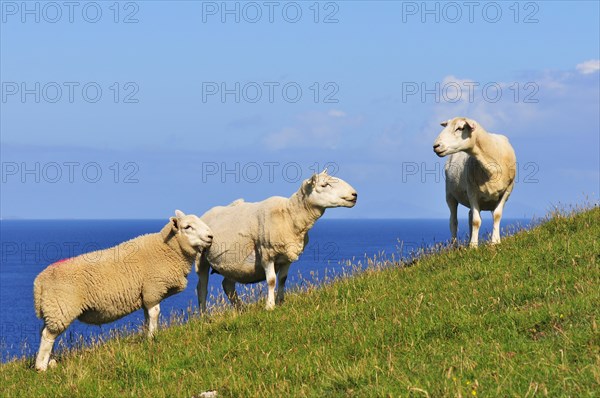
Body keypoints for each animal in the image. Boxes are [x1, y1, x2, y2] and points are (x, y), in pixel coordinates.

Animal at [32, 210, 213, 372]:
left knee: (44, 332)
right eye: (187, 226)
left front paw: (147, 335)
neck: (167, 249)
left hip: (53, 310)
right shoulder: (152, 290)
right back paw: (41, 367)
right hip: (61, 309)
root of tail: (39, 282)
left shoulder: (145, 294)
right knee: (48, 336)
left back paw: (49, 362)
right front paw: (152, 338)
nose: (211, 236)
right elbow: (155, 313)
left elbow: (147, 317)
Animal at [196, 169, 356, 312]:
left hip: (233, 264)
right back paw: (204, 316)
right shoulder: (266, 254)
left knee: (228, 285)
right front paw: (270, 306)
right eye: (324, 185)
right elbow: (272, 280)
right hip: (201, 259)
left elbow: (283, 279)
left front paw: (280, 302)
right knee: (202, 288)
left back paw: (241, 310)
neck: (289, 215)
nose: (354, 195)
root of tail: (205, 214)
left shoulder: (287, 257)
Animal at [434, 116, 516, 246]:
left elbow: (497, 216)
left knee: (469, 215)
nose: (436, 146)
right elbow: (476, 221)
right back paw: (455, 246)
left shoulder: (507, 191)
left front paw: (495, 242)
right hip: (450, 195)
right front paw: (473, 246)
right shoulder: (472, 192)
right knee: (453, 221)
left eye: (460, 128)